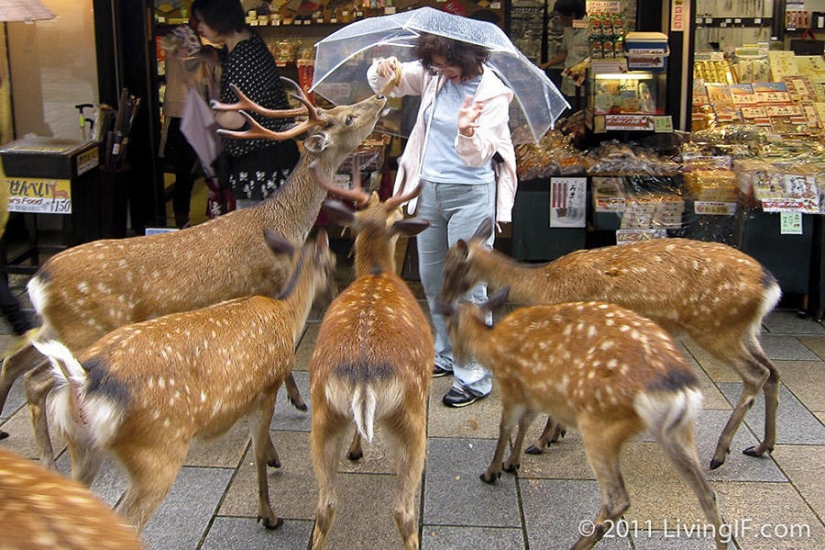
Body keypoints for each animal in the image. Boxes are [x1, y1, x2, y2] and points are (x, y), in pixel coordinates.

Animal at [0, 82, 386, 470]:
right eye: (348, 117)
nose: (380, 97)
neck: (283, 225)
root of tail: (38, 280)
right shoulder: (269, 286)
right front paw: (291, 413)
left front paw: (294, 403)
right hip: (83, 329)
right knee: (36, 380)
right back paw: (47, 459)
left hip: (56, 328)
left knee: (14, 361)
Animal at [30, 231, 336, 532]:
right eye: (332, 263)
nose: (333, 298)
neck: (286, 313)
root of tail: (83, 378)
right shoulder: (267, 390)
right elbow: (257, 453)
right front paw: (268, 514)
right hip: (156, 451)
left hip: (81, 445)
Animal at [438, 219, 780, 470]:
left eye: (451, 267)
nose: (442, 303)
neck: (542, 285)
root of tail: (770, 287)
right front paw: (556, 435)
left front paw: (541, 441)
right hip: (745, 331)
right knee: (772, 371)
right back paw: (762, 446)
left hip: (716, 328)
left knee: (756, 374)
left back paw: (720, 453)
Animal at [438, 292, 728, 548]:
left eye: (450, 327)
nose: (458, 358)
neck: (491, 344)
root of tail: (680, 390)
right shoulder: (535, 393)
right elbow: (525, 424)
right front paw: (514, 462)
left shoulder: (512, 387)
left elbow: (506, 426)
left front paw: (493, 471)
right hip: (679, 432)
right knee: (708, 494)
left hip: (600, 425)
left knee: (617, 500)